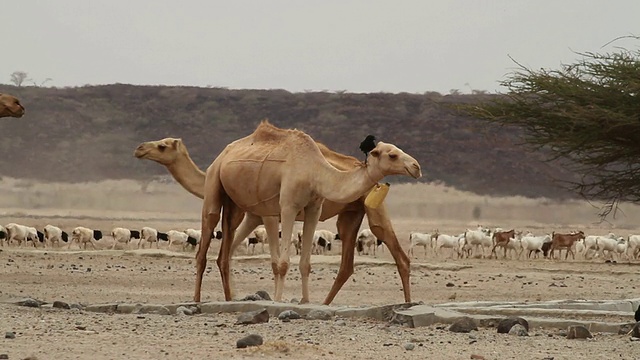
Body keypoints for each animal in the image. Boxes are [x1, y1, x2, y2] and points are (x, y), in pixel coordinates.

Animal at [138, 121, 422, 304]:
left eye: (162, 145)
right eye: (392, 155)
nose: (416, 166)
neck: (314, 170)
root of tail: (219, 159)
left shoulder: (309, 208)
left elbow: (300, 262)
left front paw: (302, 302)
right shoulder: (280, 209)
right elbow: (281, 262)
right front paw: (279, 301)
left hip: (360, 212)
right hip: (216, 191)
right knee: (207, 242)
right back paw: (197, 299)